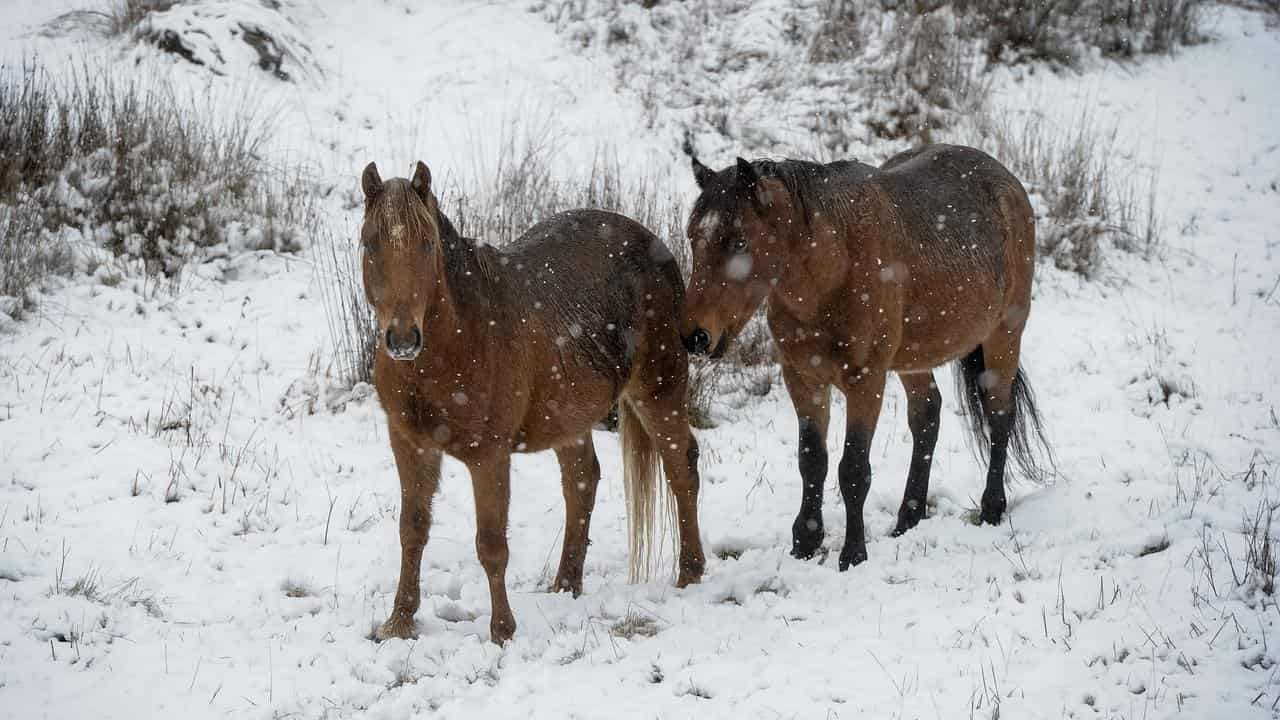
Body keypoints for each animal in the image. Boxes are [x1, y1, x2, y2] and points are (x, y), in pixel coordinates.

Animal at [360, 161, 706, 638]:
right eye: (369, 243)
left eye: (427, 244)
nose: (403, 338)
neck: (457, 338)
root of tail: (655, 243)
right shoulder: (410, 444)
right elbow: (412, 530)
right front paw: (398, 622)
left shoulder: (488, 455)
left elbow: (490, 545)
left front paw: (502, 631)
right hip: (571, 416)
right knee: (583, 481)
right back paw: (565, 585)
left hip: (659, 389)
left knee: (680, 467)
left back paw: (689, 573)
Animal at [680, 146, 1049, 568]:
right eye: (693, 238)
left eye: (739, 242)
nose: (695, 336)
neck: (833, 266)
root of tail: (1007, 179)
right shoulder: (803, 378)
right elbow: (812, 461)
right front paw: (805, 543)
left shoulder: (865, 380)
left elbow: (853, 469)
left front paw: (853, 553)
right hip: (914, 359)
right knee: (927, 416)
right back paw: (908, 518)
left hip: (1004, 335)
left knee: (999, 416)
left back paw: (991, 508)